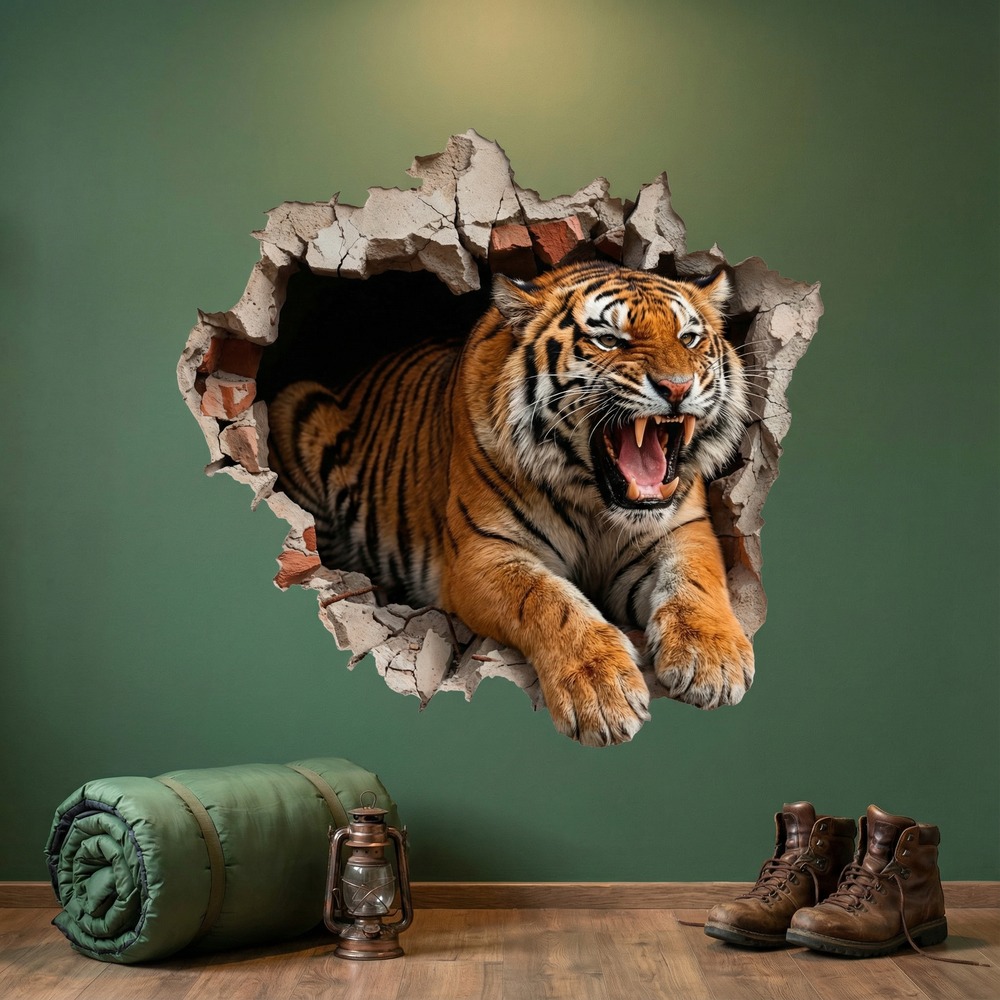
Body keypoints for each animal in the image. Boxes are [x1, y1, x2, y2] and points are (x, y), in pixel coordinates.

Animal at [268, 260, 754, 746]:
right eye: (609, 340)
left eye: (688, 338)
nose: (677, 387)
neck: (596, 501)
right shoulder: (484, 553)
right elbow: (549, 601)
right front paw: (600, 691)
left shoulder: (683, 528)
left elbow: (695, 579)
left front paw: (712, 662)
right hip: (298, 407)